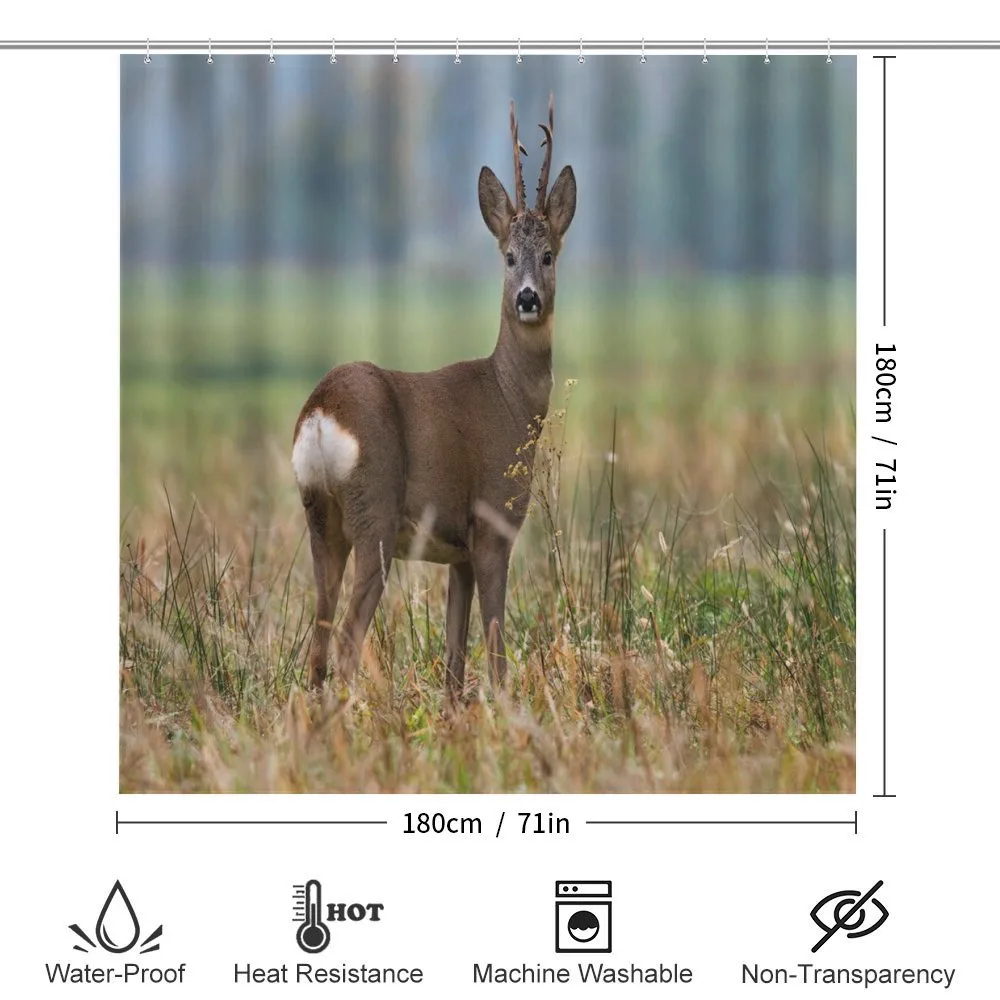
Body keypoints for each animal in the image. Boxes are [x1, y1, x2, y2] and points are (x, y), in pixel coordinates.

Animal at [291, 96, 576, 700]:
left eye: (549, 254)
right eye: (508, 255)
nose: (528, 299)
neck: (509, 397)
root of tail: (323, 411)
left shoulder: (457, 553)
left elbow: (453, 659)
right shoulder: (491, 524)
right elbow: (494, 649)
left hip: (321, 519)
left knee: (318, 646)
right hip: (373, 512)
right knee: (347, 643)